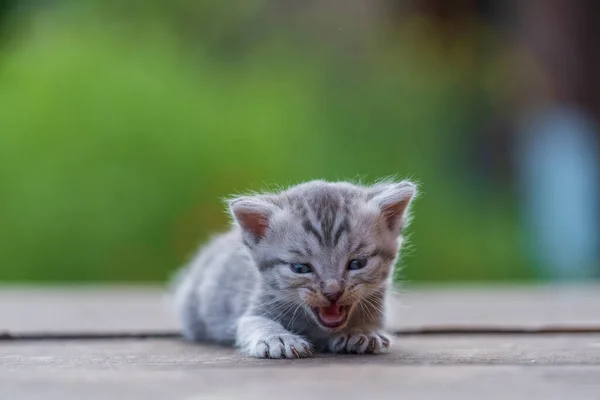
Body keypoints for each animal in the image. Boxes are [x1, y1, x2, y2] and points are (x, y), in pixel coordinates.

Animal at [171, 180, 420, 358]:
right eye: (301, 268)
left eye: (357, 264)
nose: (332, 292)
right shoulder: (253, 310)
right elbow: (255, 323)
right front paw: (278, 339)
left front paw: (361, 332)